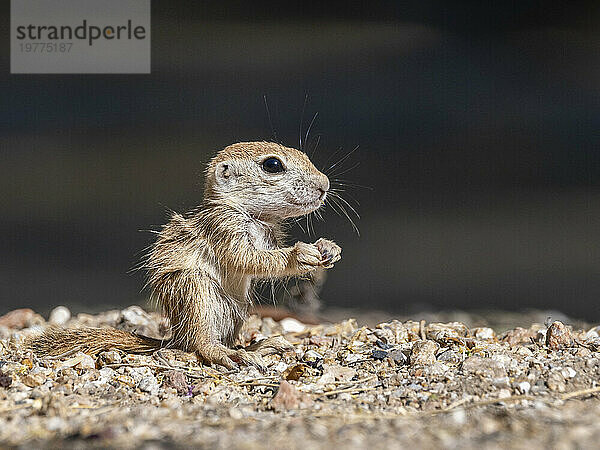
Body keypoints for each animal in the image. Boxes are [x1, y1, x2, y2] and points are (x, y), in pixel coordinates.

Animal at [28, 141, 340, 370]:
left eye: (303, 154)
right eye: (272, 165)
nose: (324, 184)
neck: (252, 216)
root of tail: (173, 338)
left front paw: (328, 249)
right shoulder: (224, 228)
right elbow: (250, 259)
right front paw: (299, 255)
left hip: (237, 311)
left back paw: (260, 346)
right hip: (195, 292)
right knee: (201, 345)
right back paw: (231, 354)